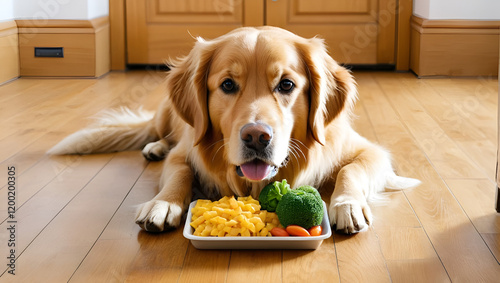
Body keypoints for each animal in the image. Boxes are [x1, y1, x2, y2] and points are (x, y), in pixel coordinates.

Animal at [48, 27, 420, 235]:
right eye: (227, 84)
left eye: (286, 84)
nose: (257, 136)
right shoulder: (185, 151)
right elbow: (180, 172)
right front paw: (163, 204)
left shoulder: (368, 151)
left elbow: (351, 170)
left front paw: (347, 205)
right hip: (168, 116)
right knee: (160, 134)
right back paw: (154, 147)